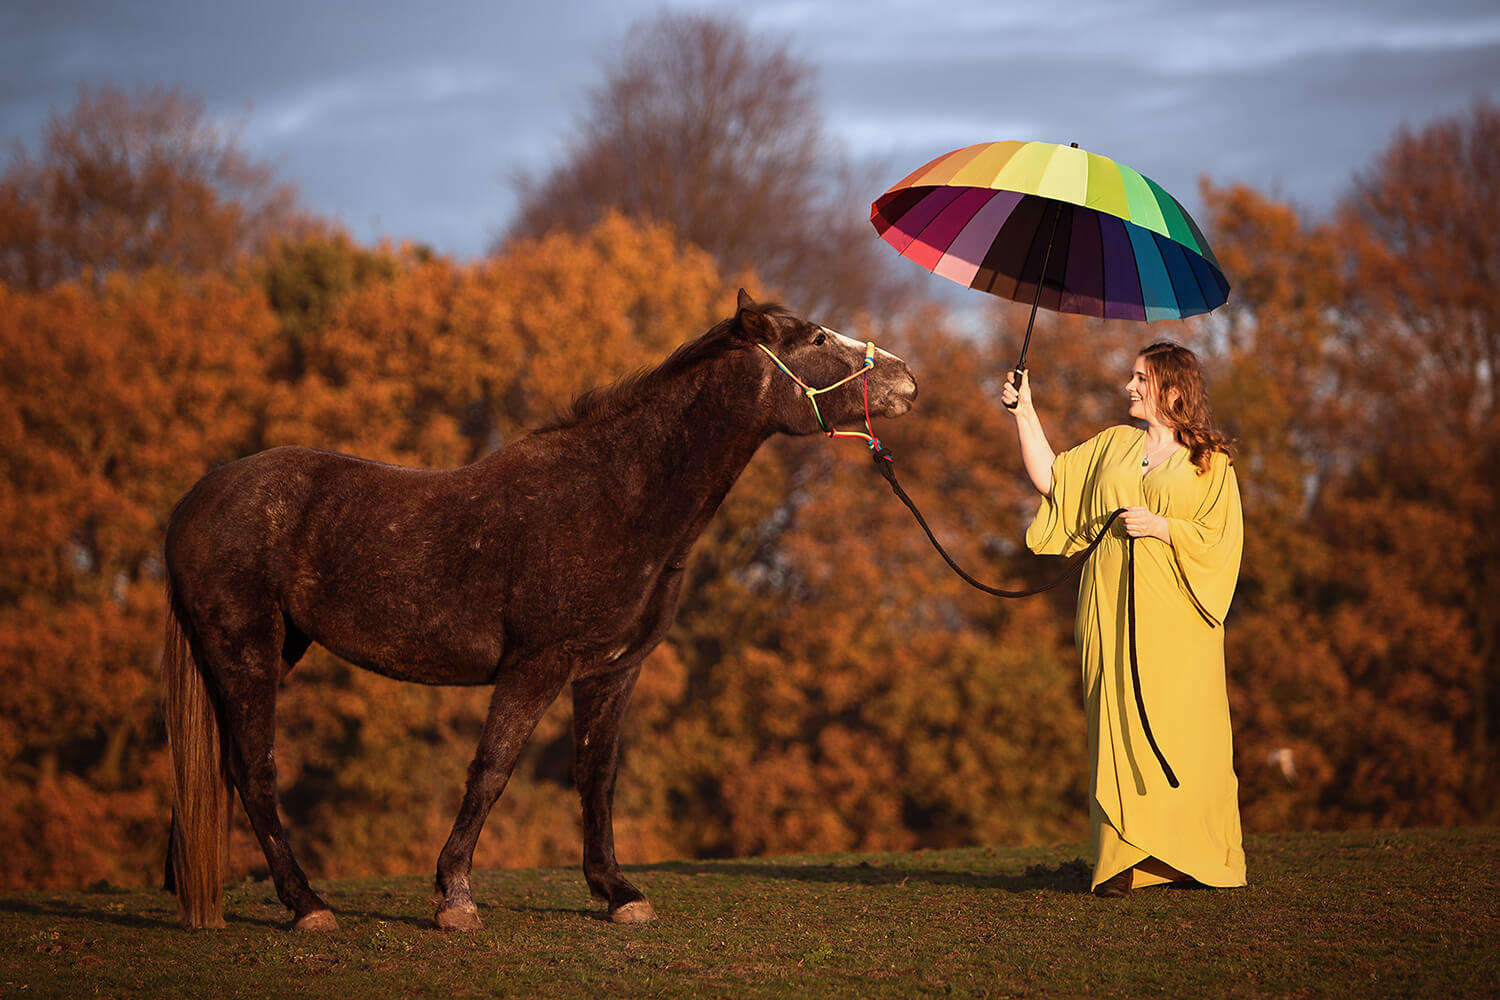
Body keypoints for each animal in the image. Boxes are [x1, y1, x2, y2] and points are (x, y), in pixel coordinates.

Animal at [161, 287, 912, 929]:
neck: (615, 496)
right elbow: (491, 770)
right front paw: (455, 898)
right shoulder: (535, 667)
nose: (907, 380)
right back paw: (307, 905)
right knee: (254, 770)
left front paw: (618, 893)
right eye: (816, 338)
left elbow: (596, 777)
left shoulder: (611, 671)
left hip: (271, 650)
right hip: (247, 649)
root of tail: (199, 497)